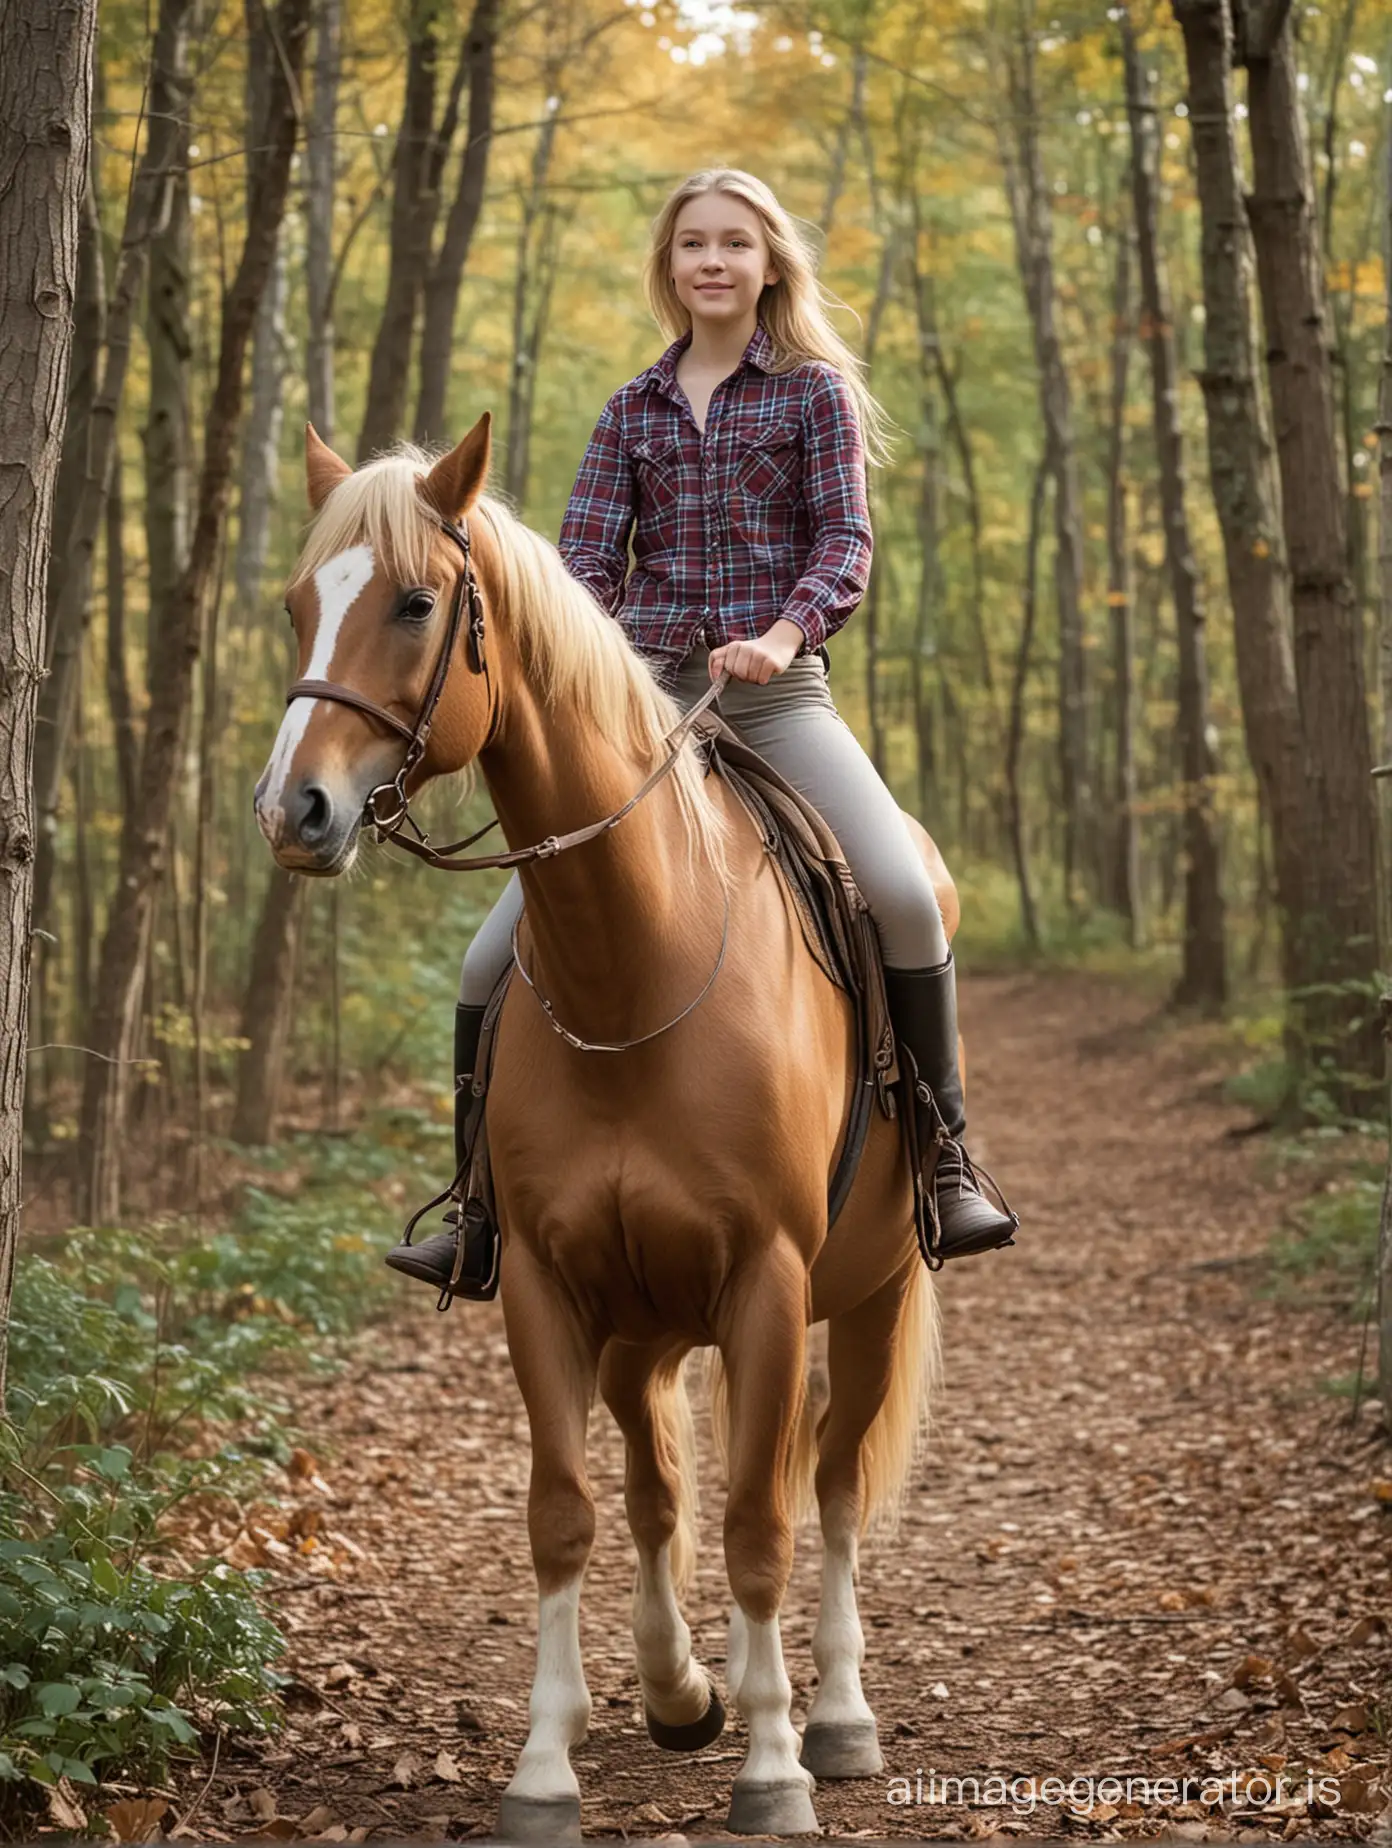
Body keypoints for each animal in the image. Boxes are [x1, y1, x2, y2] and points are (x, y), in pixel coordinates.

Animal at [253, 412, 953, 1840]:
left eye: (415, 605)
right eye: (300, 603)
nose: (294, 813)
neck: (640, 960)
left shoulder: (768, 1281)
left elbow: (763, 1525)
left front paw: (775, 1767)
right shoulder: (543, 1283)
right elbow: (571, 1513)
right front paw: (546, 1767)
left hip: (870, 1290)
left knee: (832, 1480)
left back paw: (834, 1715)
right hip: (645, 1318)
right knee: (658, 1479)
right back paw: (682, 1687)